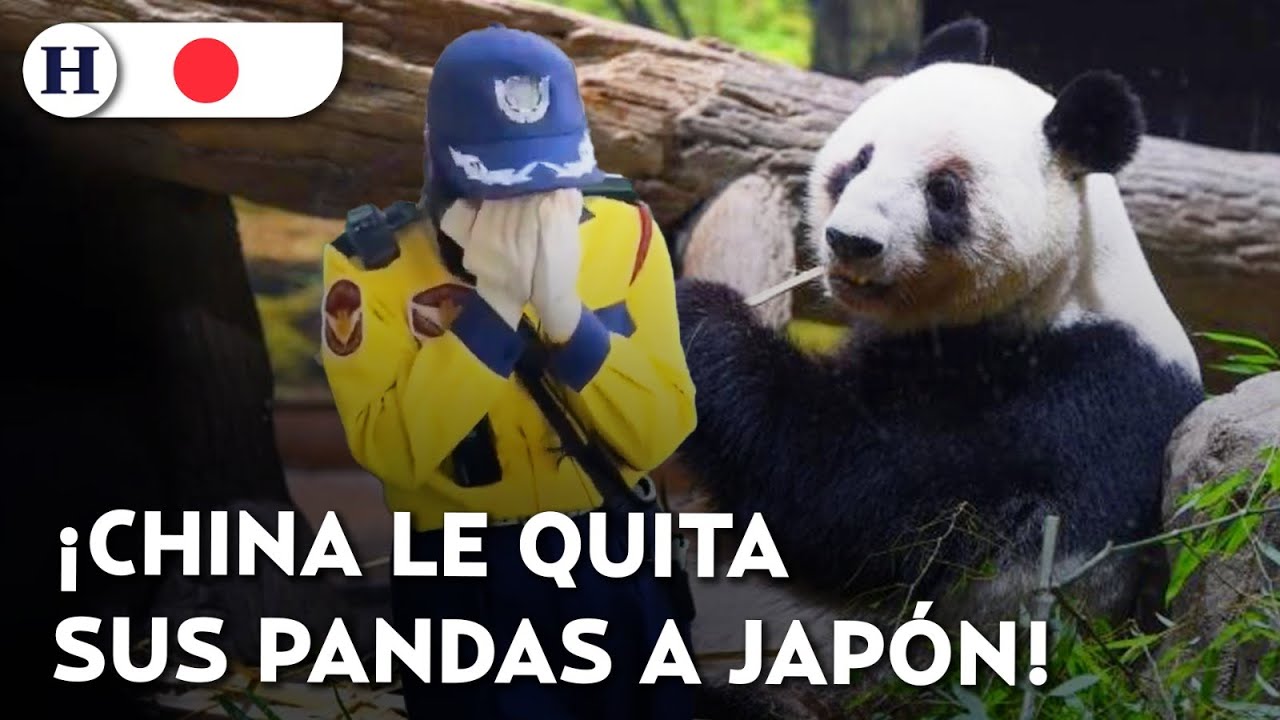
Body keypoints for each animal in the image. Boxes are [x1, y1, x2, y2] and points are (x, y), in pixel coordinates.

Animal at [673, 18, 1205, 718]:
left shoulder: (1081, 397)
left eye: (943, 191)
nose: (851, 242)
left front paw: (697, 321)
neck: (1062, 290)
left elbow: (872, 506)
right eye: (860, 160)